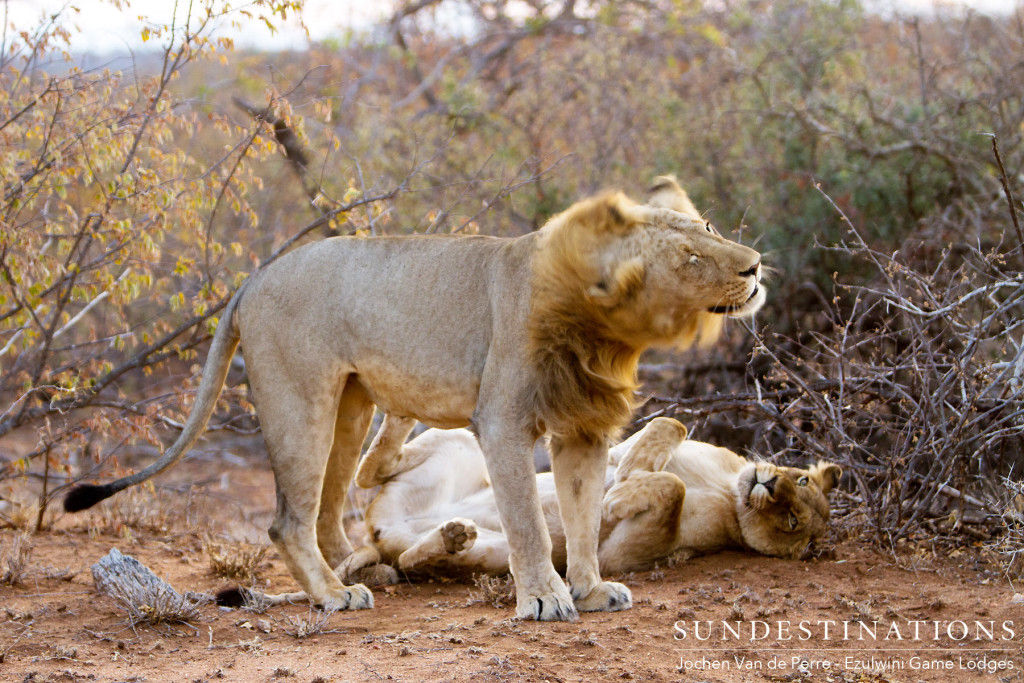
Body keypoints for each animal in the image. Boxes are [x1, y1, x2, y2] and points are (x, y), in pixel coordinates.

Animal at [66, 175, 770, 618]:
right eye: (688, 257)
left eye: (709, 225)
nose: (756, 264)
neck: (607, 332)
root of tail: (254, 277)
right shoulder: (502, 423)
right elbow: (528, 521)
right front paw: (545, 600)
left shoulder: (582, 430)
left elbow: (582, 516)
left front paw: (593, 591)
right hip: (300, 401)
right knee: (288, 518)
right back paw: (334, 596)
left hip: (350, 405)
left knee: (334, 506)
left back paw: (366, 566)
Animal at [335, 413, 839, 581]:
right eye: (803, 482)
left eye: (792, 522)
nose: (770, 486)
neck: (728, 487)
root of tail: (383, 531)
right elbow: (669, 428)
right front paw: (631, 469)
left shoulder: (622, 557)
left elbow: (672, 491)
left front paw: (616, 499)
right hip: (460, 445)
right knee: (366, 470)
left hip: (495, 554)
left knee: (412, 561)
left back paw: (450, 537)